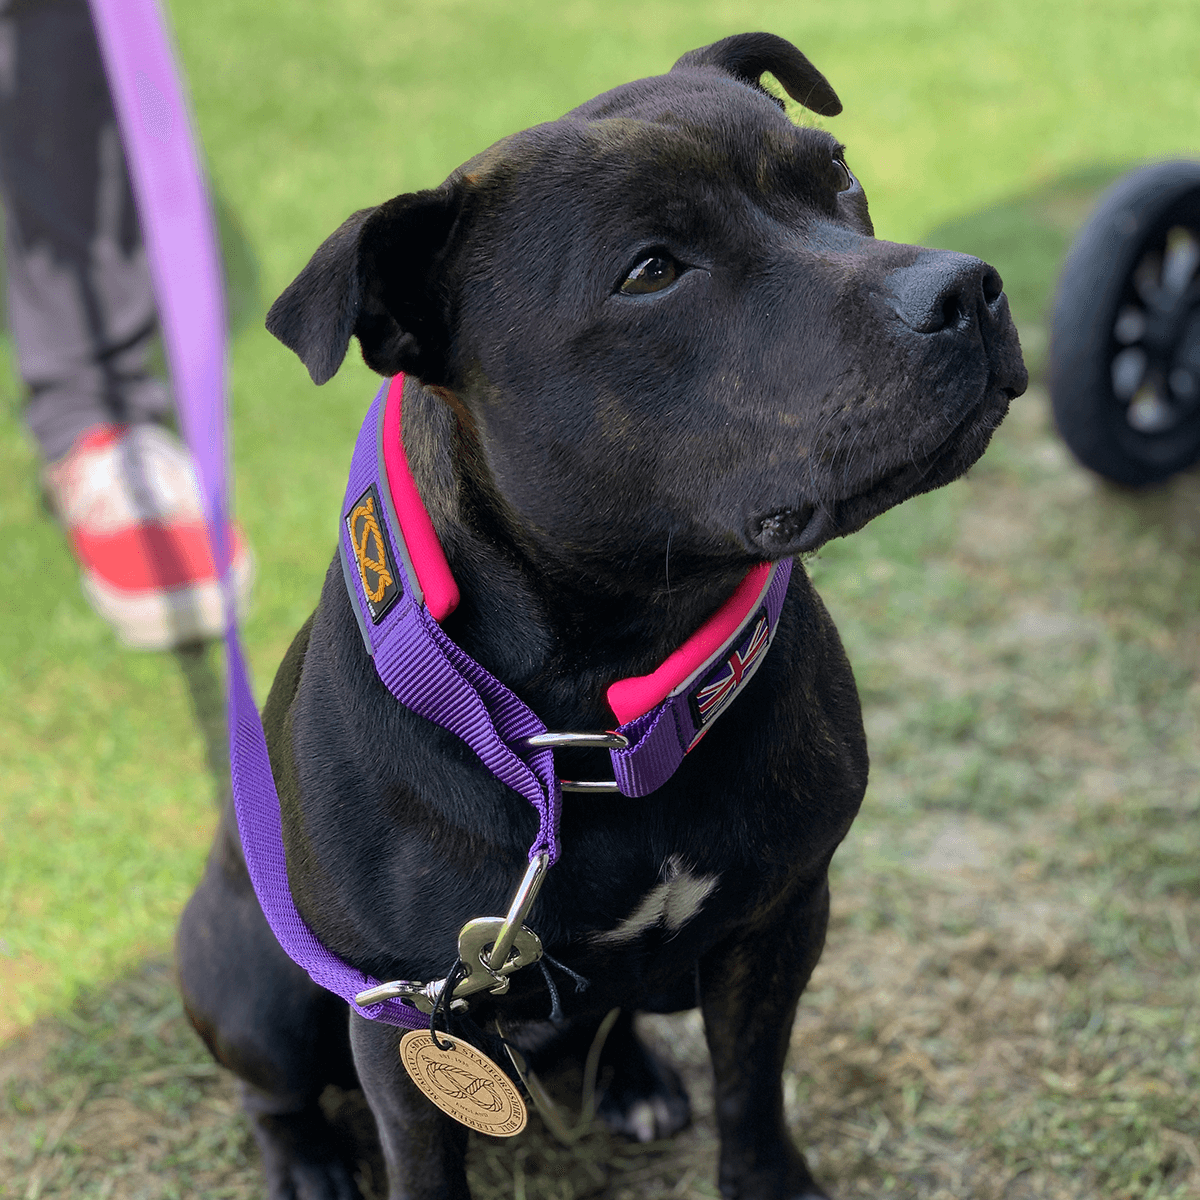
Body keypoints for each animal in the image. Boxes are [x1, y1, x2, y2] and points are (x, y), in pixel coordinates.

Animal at [175, 35, 1022, 1200]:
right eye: (651, 271)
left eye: (836, 174)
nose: (968, 288)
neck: (598, 716)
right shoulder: (403, 1019)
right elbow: (425, 1165)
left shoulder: (780, 919)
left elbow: (753, 1090)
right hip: (254, 987)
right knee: (273, 1090)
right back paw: (306, 1160)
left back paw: (632, 1078)